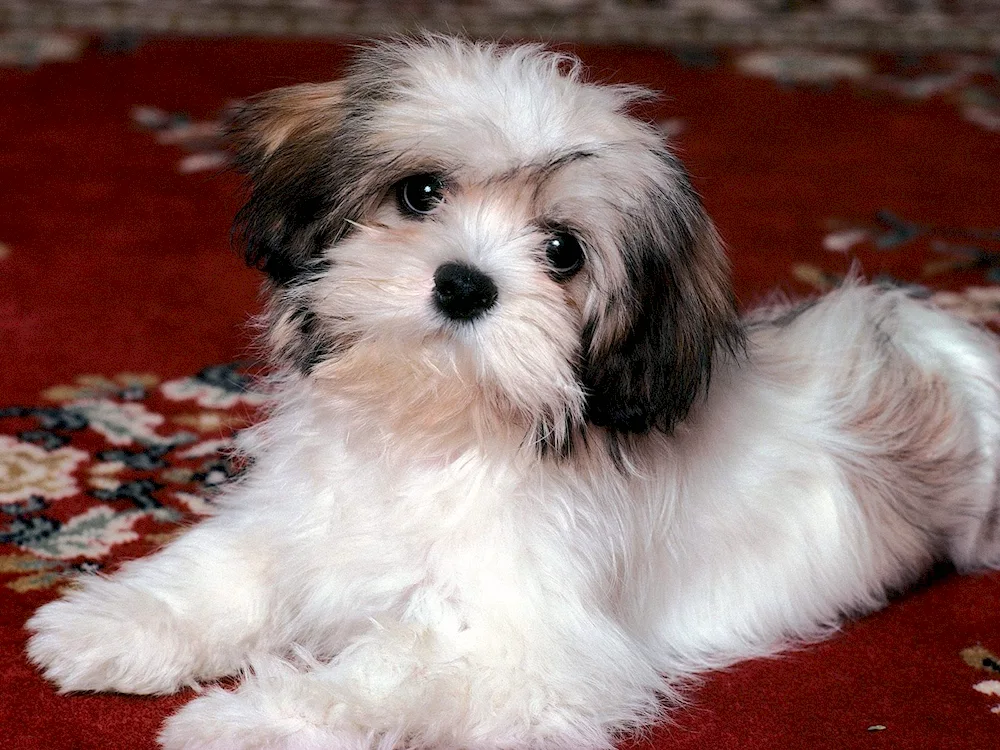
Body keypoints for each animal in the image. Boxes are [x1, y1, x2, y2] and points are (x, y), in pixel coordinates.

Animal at [23, 36, 1000, 750]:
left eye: (562, 250)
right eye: (421, 193)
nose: (464, 284)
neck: (435, 428)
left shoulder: (524, 654)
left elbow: (376, 679)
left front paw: (243, 721)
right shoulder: (300, 523)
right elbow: (225, 571)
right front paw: (111, 625)